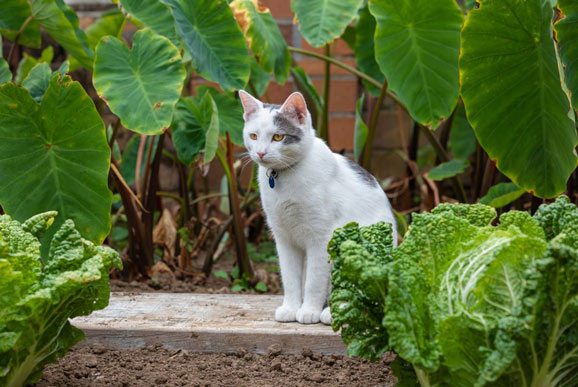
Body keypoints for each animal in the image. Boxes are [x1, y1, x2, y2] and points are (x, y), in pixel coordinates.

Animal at [236, 92, 394, 326]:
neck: (285, 177)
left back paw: (334, 311)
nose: (261, 153)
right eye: (253, 136)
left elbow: (314, 280)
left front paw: (309, 310)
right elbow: (290, 278)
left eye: (278, 137)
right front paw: (291, 308)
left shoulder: (320, 238)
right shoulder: (284, 238)